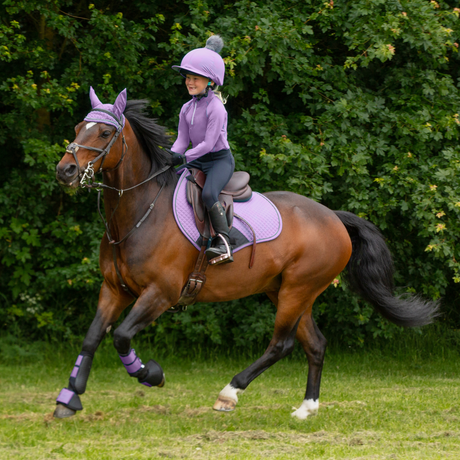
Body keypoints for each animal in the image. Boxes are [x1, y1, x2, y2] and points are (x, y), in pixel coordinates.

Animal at [54, 89, 438, 420]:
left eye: (105, 132)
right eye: (77, 128)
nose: (65, 170)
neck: (140, 211)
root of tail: (334, 217)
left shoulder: (160, 294)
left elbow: (120, 336)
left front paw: (152, 374)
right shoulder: (114, 290)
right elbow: (92, 337)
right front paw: (69, 398)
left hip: (297, 290)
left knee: (281, 344)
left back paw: (230, 392)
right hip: (288, 291)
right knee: (315, 344)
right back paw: (306, 408)